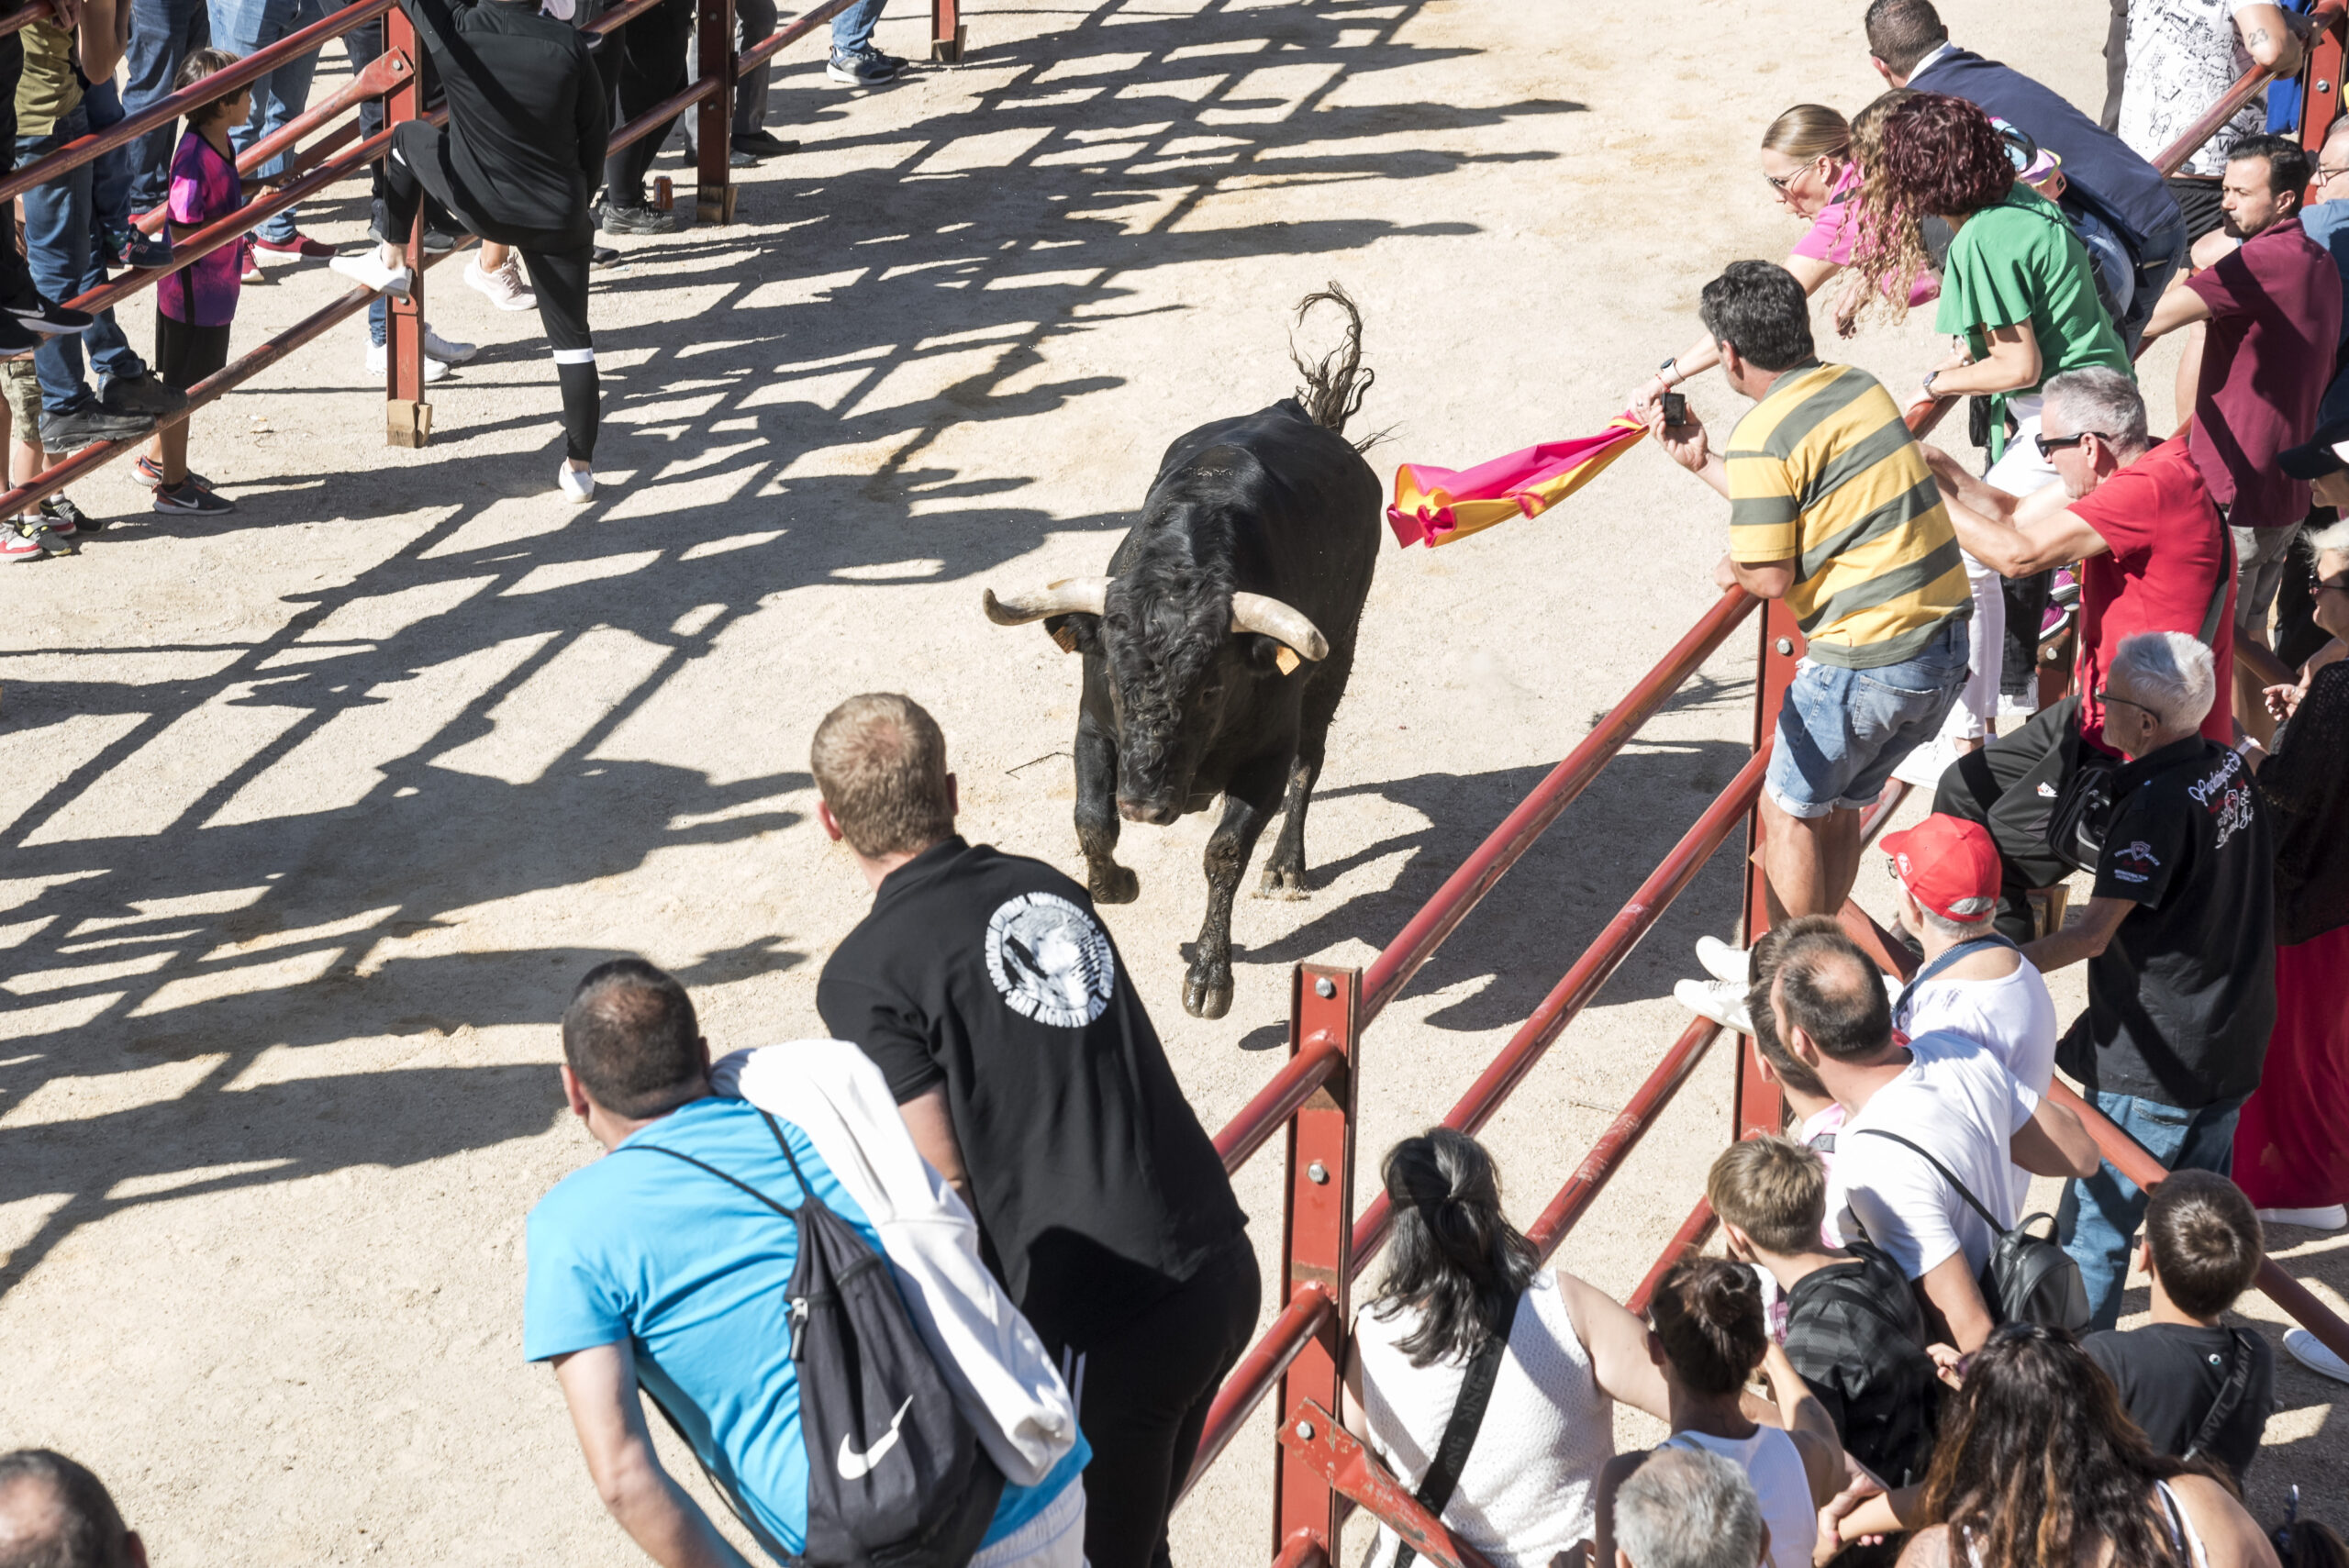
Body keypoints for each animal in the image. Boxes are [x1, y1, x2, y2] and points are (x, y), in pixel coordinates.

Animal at [982, 394, 1381, 1018]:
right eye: (1115, 680)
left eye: (1211, 690)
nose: (1145, 805)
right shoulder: (1093, 728)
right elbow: (1091, 818)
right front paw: (1116, 885)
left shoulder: (1265, 757)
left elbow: (1226, 851)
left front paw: (1211, 977)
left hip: (1338, 653)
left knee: (1308, 762)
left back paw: (1285, 866)